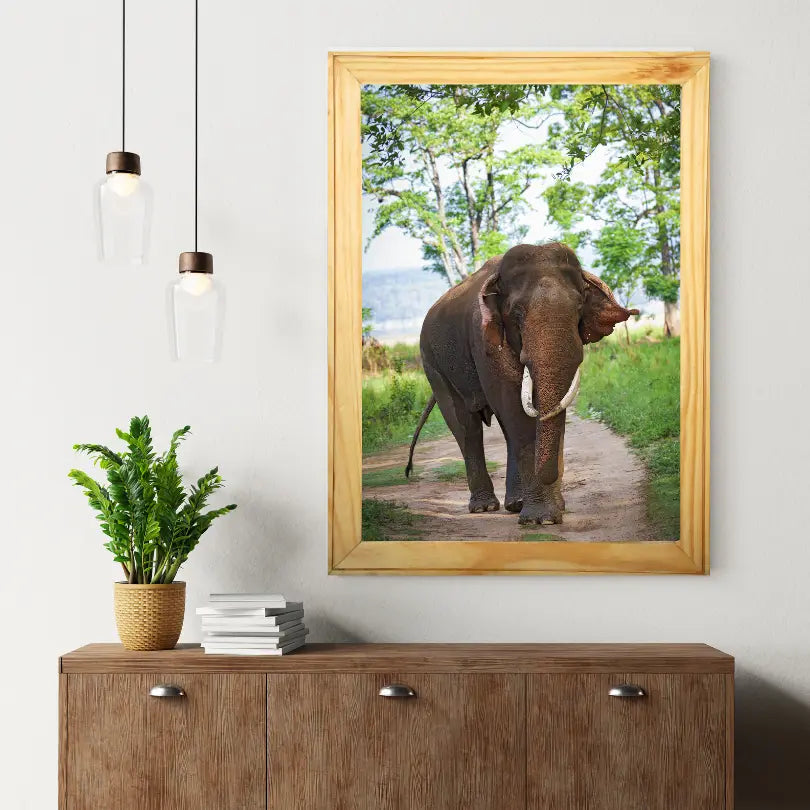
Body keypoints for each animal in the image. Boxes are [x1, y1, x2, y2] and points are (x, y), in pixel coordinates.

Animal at [405, 242, 638, 525]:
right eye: (517, 313)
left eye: (579, 308)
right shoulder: (484, 341)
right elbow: (514, 409)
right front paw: (541, 519)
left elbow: (548, 411)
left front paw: (551, 511)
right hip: (432, 362)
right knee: (466, 426)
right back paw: (484, 508)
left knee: (502, 431)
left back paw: (515, 504)